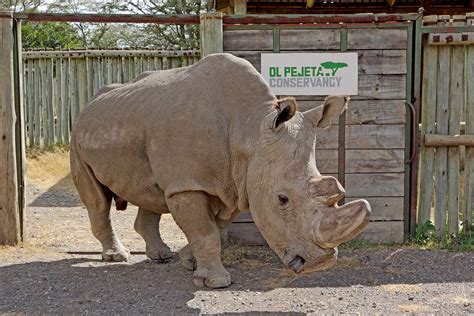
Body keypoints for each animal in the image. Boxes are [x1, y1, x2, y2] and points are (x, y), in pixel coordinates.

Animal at [71, 52, 370, 288]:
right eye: (282, 199)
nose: (320, 263)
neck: (249, 131)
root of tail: (89, 104)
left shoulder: (239, 183)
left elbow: (215, 227)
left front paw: (189, 261)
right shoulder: (188, 184)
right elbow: (206, 232)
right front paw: (215, 281)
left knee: (150, 193)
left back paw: (161, 256)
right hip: (77, 135)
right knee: (97, 201)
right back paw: (116, 256)